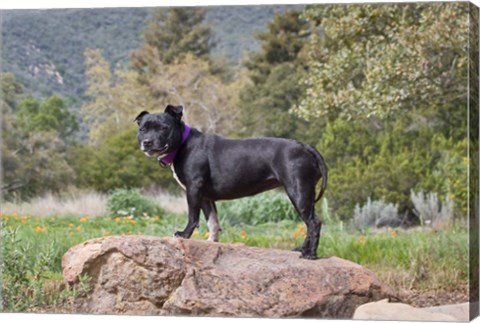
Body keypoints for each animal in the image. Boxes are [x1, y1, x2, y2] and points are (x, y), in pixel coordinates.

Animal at [137, 106, 328, 260]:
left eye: (164, 128)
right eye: (143, 129)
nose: (147, 142)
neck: (183, 143)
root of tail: (306, 147)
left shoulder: (193, 189)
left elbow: (193, 217)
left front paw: (183, 235)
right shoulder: (205, 197)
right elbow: (213, 221)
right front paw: (212, 242)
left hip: (299, 192)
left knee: (313, 223)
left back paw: (310, 255)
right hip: (304, 194)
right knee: (310, 223)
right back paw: (302, 249)